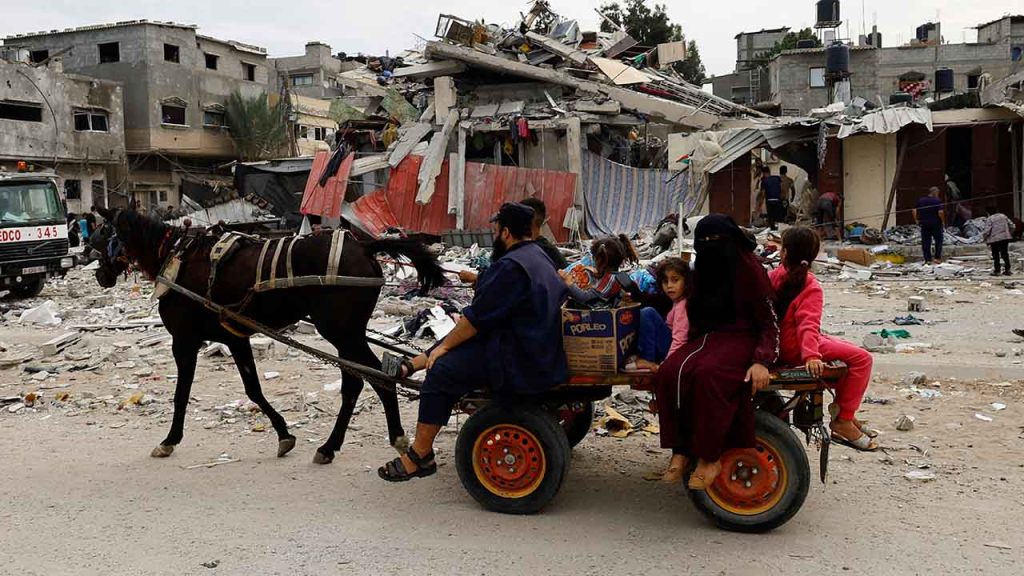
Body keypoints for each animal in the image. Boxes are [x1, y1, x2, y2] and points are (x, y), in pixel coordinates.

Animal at [87, 208, 440, 463]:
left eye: (102, 236)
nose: (100, 275)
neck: (175, 257)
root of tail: (364, 245)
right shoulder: (235, 337)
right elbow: (253, 389)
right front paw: (284, 435)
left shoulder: (184, 341)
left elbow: (181, 394)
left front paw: (169, 440)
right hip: (348, 332)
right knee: (360, 379)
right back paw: (338, 445)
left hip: (341, 331)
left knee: (374, 376)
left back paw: (378, 439)